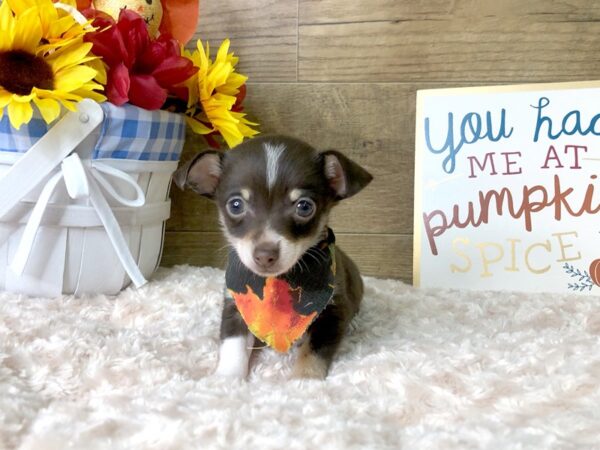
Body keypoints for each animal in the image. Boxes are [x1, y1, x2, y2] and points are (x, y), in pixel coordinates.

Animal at [171, 134, 372, 380]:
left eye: (304, 207)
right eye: (235, 205)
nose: (265, 255)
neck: (276, 283)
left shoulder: (332, 314)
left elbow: (312, 353)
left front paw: (305, 381)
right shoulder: (235, 306)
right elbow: (232, 346)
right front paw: (226, 380)